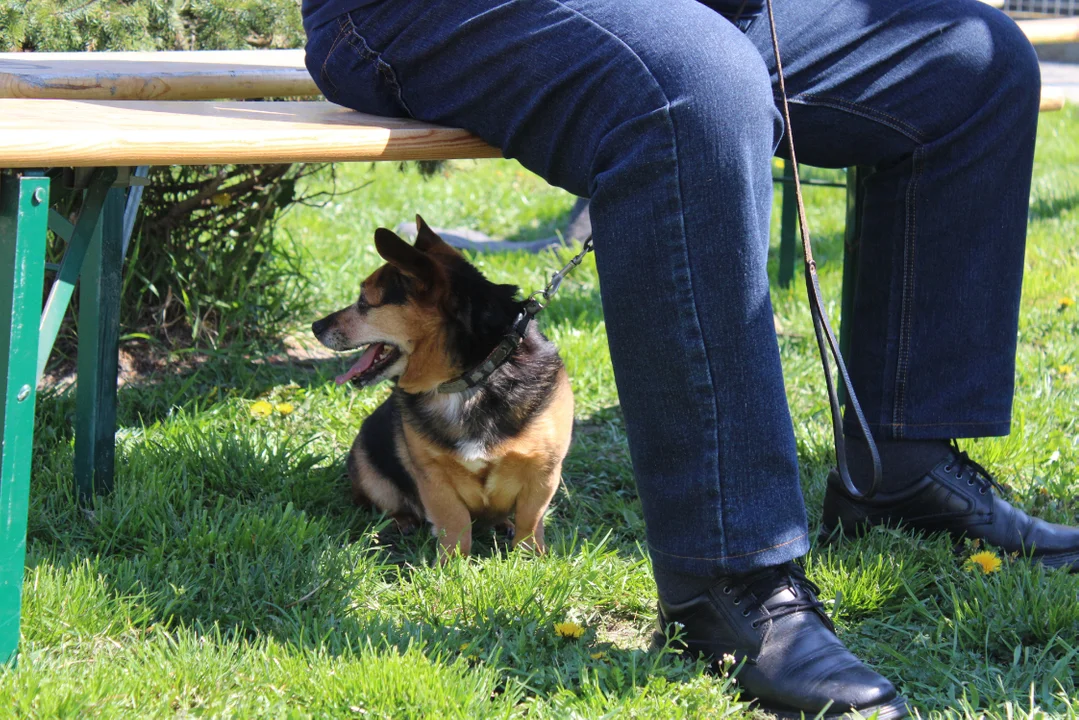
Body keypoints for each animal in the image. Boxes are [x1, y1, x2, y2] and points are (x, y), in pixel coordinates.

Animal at [312, 215, 574, 561]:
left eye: (364, 302)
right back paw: (403, 523)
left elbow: (530, 519)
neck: (470, 381)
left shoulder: (543, 472)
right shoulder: (432, 475)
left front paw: (529, 559)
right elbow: (454, 520)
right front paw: (452, 564)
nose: (315, 326)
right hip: (369, 469)